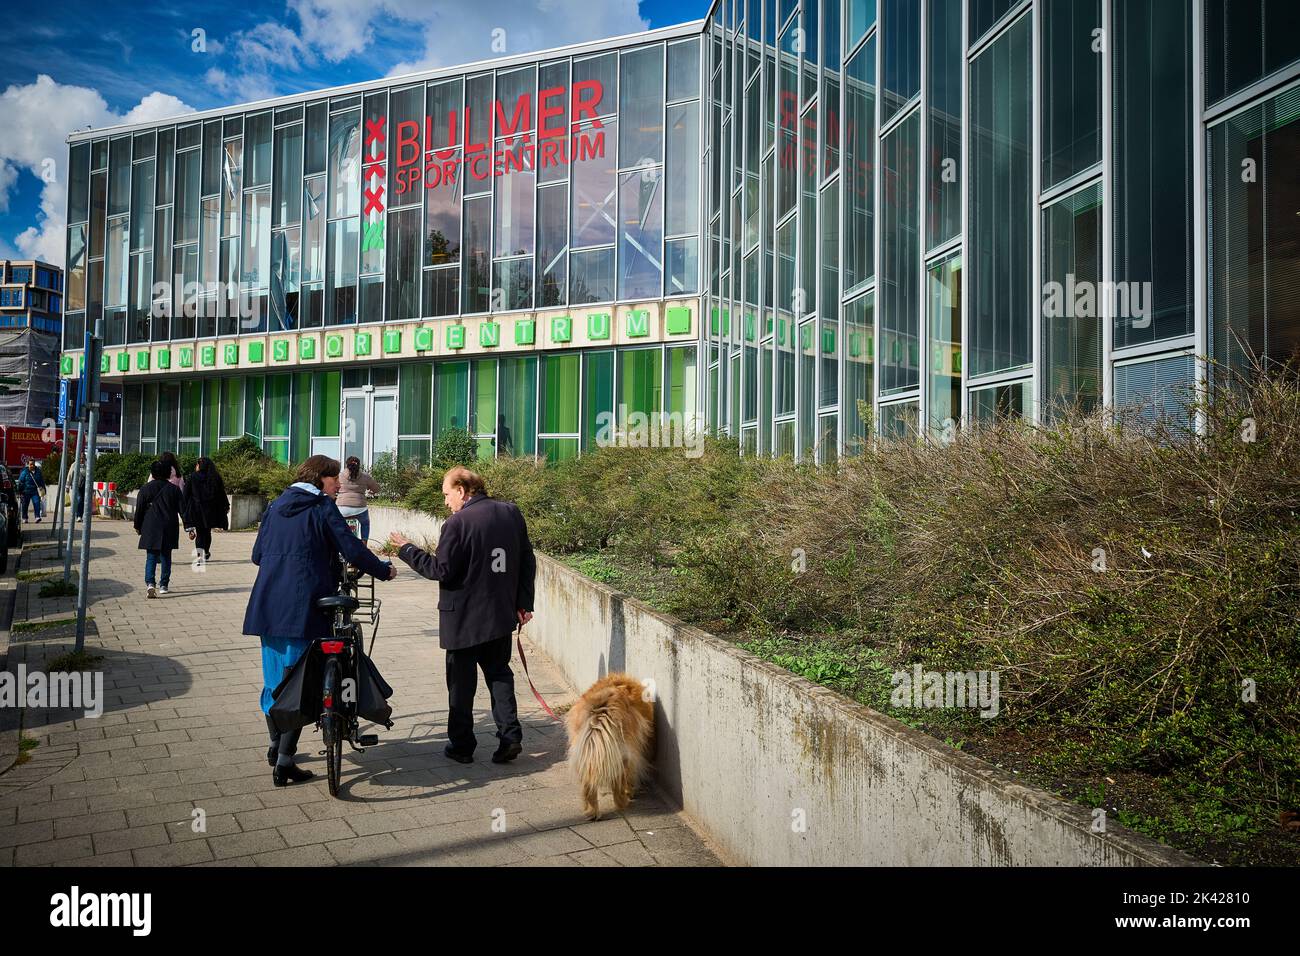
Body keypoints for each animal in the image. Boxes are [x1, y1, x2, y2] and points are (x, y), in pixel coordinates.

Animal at [564, 671, 655, 822]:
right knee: (618, 783)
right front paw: (631, 791)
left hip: (585, 753)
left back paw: (592, 812)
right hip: (622, 755)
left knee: (588, 785)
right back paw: (623, 802)